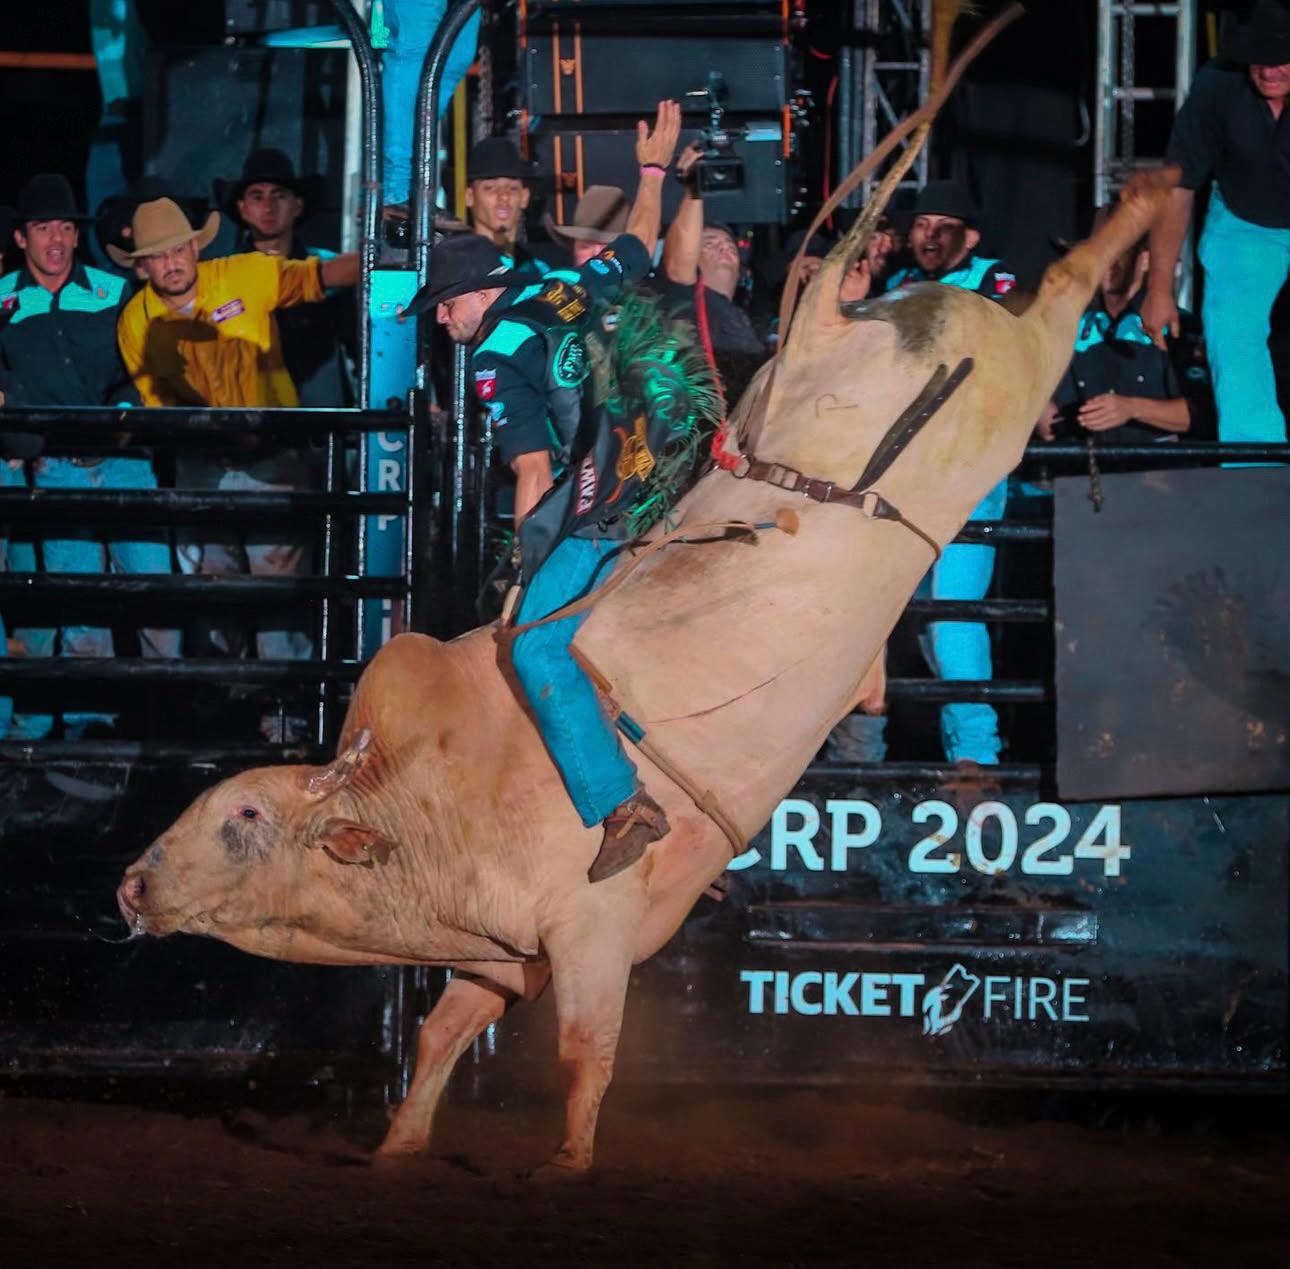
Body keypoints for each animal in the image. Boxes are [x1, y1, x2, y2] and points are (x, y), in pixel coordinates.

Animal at [116, 7, 1176, 1181]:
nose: (131, 886)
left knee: (1066, 291)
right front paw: (397, 1145)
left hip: (1014, 370)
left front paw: (566, 1163)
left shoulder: (590, 934)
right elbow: (441, 1031)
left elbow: (587, 1049)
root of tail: (827, 322)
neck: (429, 802)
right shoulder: (500, 955)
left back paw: (1145, 202)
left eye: (246, 814)